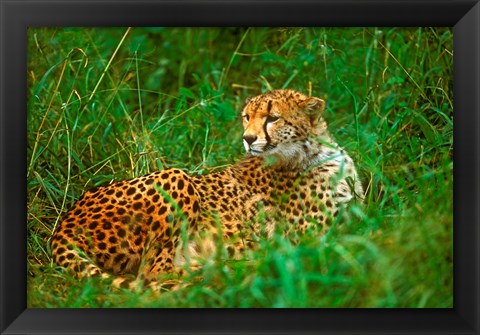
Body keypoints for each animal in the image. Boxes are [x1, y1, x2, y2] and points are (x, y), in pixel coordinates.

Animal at [50, 89, 362, 292]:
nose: (248, 138)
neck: (312, 151)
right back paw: (227, 269)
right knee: (152, 274)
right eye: (246, 117)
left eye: (273, 117)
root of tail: (64, 221)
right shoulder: (314, 237)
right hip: (176, 176)